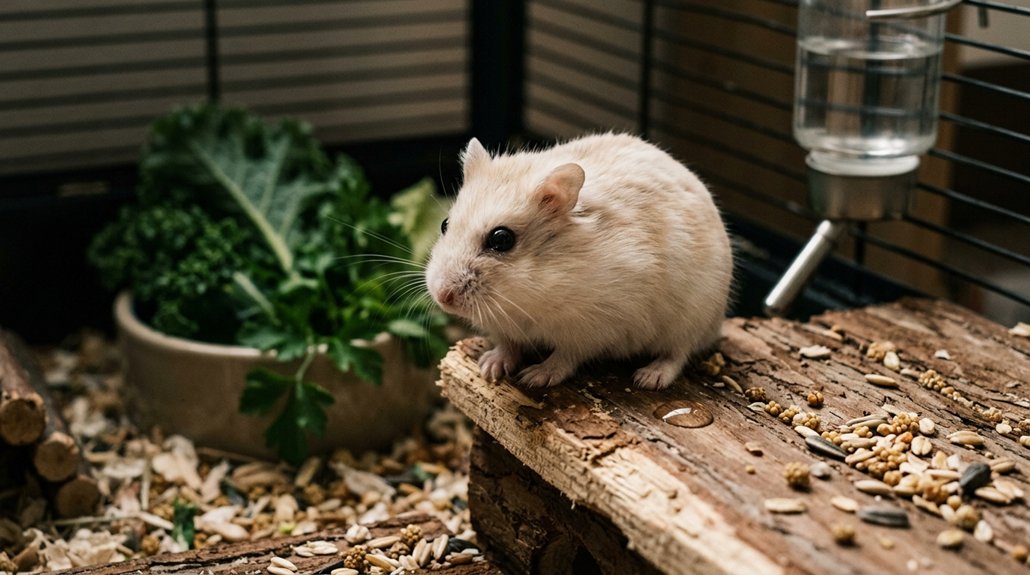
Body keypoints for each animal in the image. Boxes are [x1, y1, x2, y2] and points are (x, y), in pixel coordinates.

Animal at [425, 133, 733, 390]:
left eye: (501, 239)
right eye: (444, 224)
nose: (443, 296)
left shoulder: (594, 328)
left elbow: (566, 356)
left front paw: (534, 377)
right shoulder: (504, 327)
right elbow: (508, 346)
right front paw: (489, 368)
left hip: (691, 317)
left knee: (679, 353)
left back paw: (648, 378)